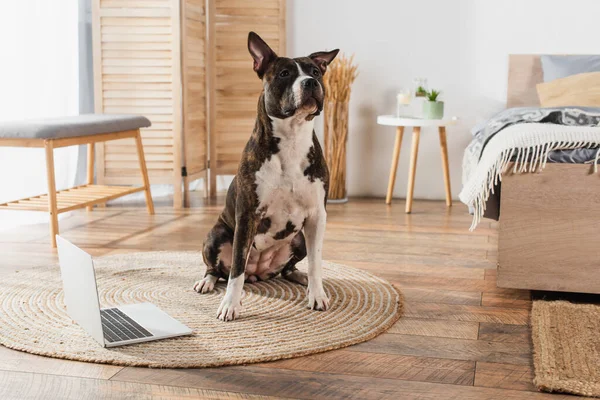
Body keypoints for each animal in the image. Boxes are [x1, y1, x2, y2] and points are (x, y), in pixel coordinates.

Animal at [195, 31, 340, 320]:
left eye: (316, 72)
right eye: (284, 73)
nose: (310, 82)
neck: (292, 139)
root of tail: (258, 273)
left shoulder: (317, 216)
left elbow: (317, 261)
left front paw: (317, 294)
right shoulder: (247, 216)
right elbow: (236, 270)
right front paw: (230, 305)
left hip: (299, 240)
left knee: (287, 268)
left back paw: (301, 278)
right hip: (216, 235)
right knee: (219, 270)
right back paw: (206, 281)